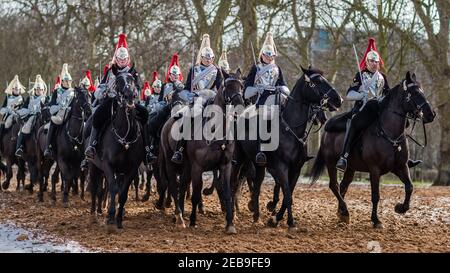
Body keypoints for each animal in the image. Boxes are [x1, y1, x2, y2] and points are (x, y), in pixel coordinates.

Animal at [87, 69, 143, 231]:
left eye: (132, 80)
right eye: (118, 81)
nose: (129, 95)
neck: (125, 134)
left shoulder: (131, 169)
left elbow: (122, 193)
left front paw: (118, 219)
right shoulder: (108, 165)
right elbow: (112, 188)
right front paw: (110, 217)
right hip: (93, 166)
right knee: (95, 188)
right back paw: (94, 214)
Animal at [232, 66, 342, 230]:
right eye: (316, 82)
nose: (338, 100)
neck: (290, 129)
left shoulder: (296, 169)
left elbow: (287, 195)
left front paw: (276, 218)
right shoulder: (282, 167)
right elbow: (287, 194)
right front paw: (289, 222)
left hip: (259, 165)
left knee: (256, 186)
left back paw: (256, 216)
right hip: (241, 159)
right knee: (236, 182)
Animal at [312, 70, 434, 227]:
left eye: (422, 90)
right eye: (413, 93)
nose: (431, 114)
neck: (389, 134)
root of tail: (326, 130)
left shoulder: (401, 167)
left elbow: (410, 187)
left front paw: (400, 208)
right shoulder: (374, 170)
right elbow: (375, 195)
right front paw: (376, 220)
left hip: (351, 168)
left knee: (343, 186)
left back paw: (342, 213)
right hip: (331, 163)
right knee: (334, 185)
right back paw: (345, 211)